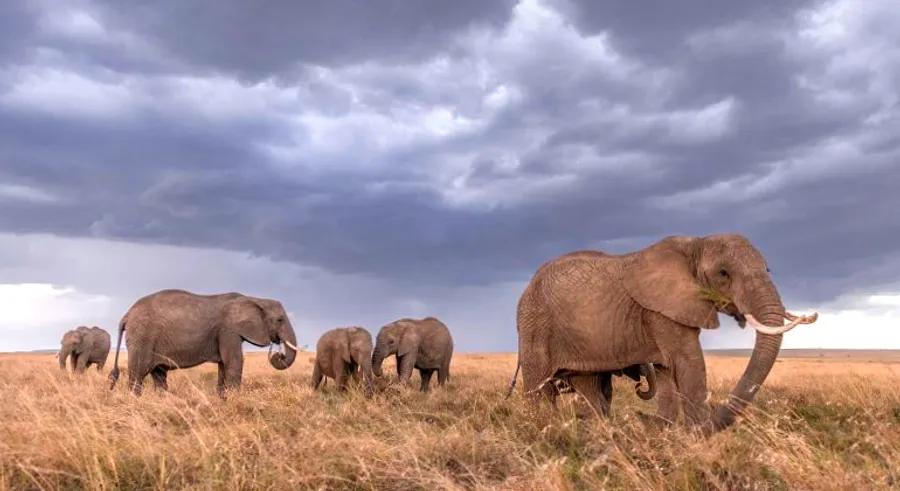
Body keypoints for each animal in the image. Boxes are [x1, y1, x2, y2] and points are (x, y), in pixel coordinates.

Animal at [108, 290, 298, 398]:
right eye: (280, 319)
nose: (278, 354)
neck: (255, 299)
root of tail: (127, 315)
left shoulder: (225, 333)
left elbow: (224, 365)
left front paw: (223, 400)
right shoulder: (228, 329)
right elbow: (234, 362)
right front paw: (236, 401)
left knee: (159, 375)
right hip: (142, 337)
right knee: (138, 374)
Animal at [512, 234, 816, 430]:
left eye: (768, 269)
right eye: (723, 273)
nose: (811, 315)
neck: (695, 244)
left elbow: (667, 371)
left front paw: (668, 431)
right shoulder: (660, 310)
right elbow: (689, 363)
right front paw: (699, 438)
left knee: (586, 386)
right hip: (534, 324)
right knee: (539, 390)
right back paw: (542, 430)